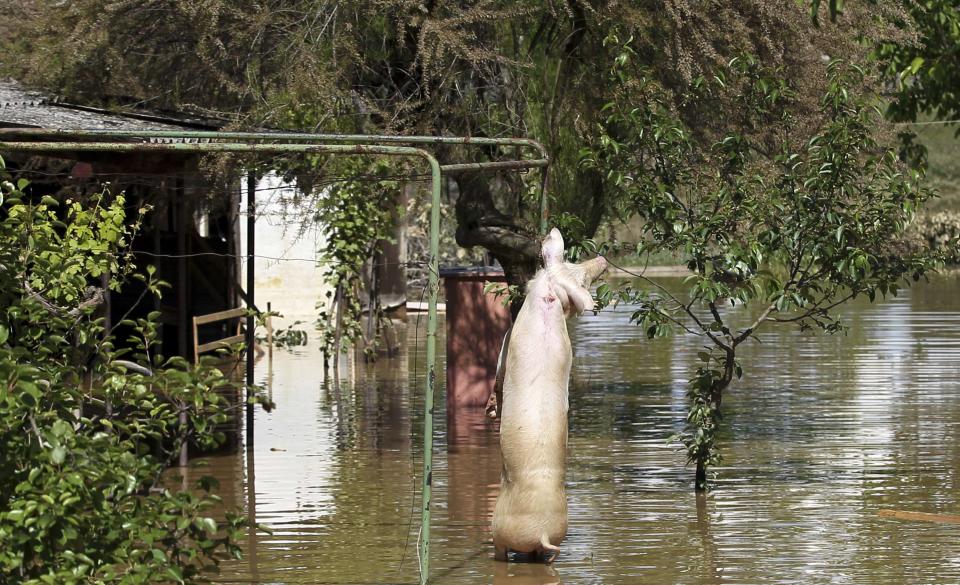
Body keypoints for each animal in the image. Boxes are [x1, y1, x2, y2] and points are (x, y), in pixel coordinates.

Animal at [496, 228, 608, 560]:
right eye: (575, 266)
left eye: (583, 280)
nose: (602, 259)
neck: (548, 297)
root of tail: (543, 531)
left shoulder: (509, 338)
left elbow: (498, 369)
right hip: (558, 535)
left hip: (499, 529)